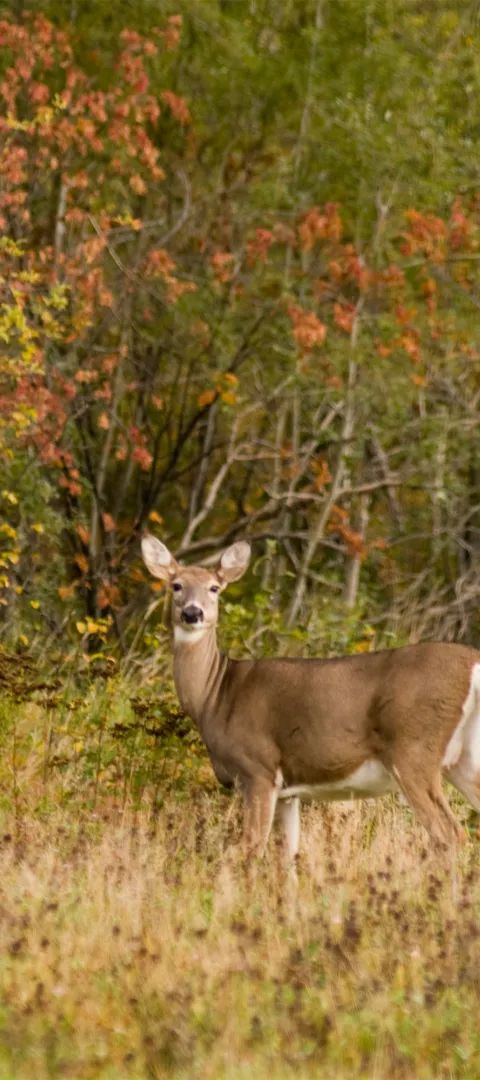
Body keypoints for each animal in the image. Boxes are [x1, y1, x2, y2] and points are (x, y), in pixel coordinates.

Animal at [141, 531, 479, 859]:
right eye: (176, 585)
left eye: (214, 587)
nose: (192, 613)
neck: (216, 697)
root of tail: (472, 662)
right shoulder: (289, 792)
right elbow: (288, 855)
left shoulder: (258, 769)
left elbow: (250, 847)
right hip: (461, 758)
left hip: (413, 749)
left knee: (449, 834)